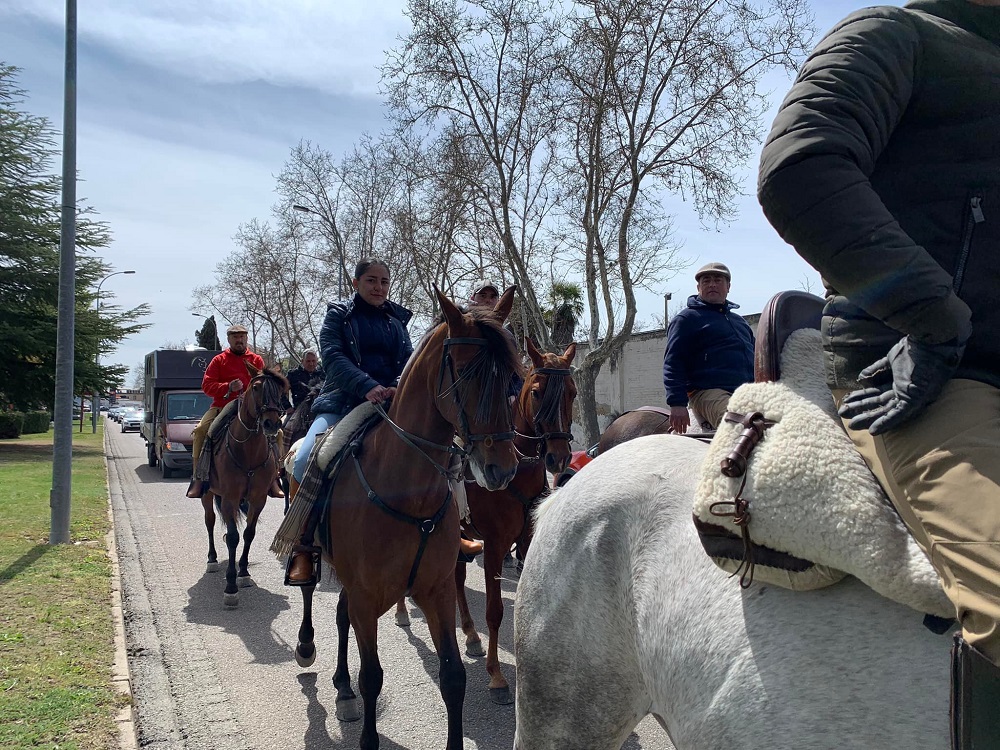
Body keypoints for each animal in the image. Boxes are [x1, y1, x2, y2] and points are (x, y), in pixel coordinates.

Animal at [198, 366, 286, 612]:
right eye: (255, 387)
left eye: (280, 390)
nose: (272, 424)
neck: (248, 451)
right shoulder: (229, 498)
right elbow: (233, 538)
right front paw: (230, 587)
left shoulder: (257, 499)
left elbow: (248, 534)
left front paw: (244, 572)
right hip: (207, 494)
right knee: (209, 522)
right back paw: (212, 559)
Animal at [292, 288, 520, 750]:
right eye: (464, 374)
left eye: (511, 377)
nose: (501, 469)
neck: (405, 490)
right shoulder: (366, 595)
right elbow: (373, 676)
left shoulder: (436, 590)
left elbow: (453, 676)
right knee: (310, 592)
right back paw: (307, 647)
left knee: (340, 616)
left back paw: (342, 689)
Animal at [454, 340, 580, 704]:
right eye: (537, 392)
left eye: (572, 392)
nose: (557, 457)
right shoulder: (496, 546)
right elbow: (495, 611)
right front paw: (497, 677)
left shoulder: (524, 542)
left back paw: (471, 635)